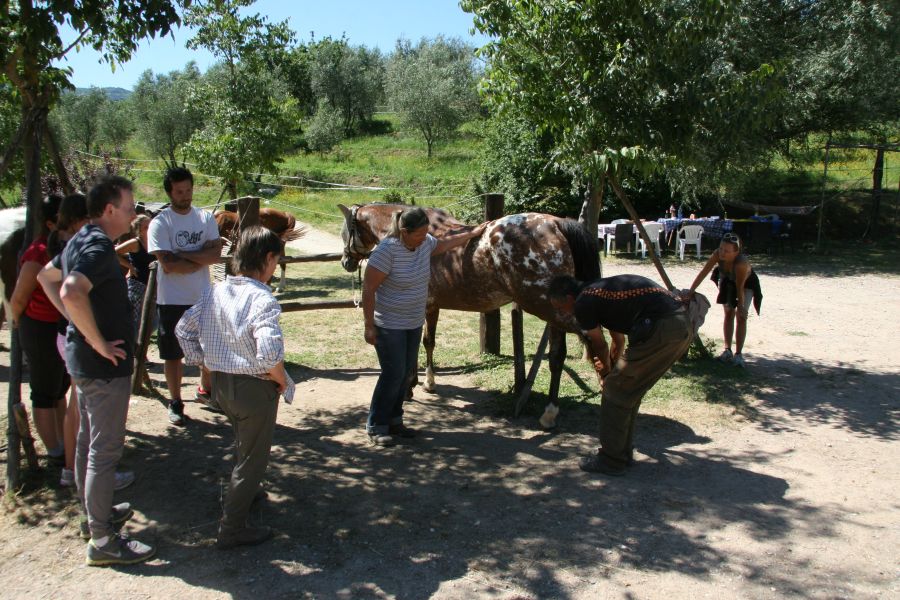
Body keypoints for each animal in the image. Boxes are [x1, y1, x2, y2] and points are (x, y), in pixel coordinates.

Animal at [342, 204, 600, 428]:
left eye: (346, 231)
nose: (346, 261)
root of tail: (556, 223)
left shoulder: (422, 306)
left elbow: (418, 345)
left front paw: (412, 386)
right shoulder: (430, 307)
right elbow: (427, 342)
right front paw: (426, 383)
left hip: (548, 308)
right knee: (558, 356)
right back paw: (550, 412)